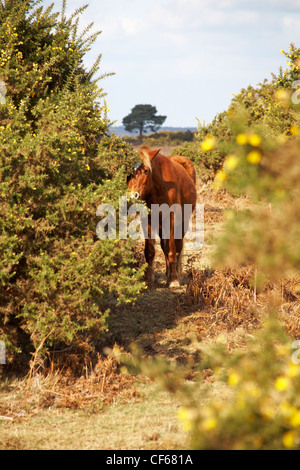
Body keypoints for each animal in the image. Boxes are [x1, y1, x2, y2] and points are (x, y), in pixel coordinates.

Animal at [126, 145, 197, 288]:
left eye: (146, 171)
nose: (132, 196)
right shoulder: (147, 221)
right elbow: (150, 251)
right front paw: (149, 280)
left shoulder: (171, 219)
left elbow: (171, 249)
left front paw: (174, 279)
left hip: (182, 223)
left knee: (177, 246)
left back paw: (175, 275)